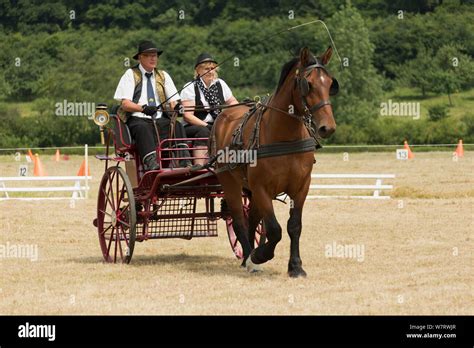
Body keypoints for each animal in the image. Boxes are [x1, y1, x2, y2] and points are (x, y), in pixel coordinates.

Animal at [211, 47, 336, 278]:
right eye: (308, 84)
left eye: (331, 83)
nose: (327, 127)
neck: (284, 136)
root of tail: (223, 115)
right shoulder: (262, 188)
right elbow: (274, 230)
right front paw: (260, 255)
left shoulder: (301, 187)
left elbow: (294, 226)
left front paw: (295, 266)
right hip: (229, 182)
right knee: (239, 220)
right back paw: (249, 257)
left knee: (251, 219)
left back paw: (248, 257)